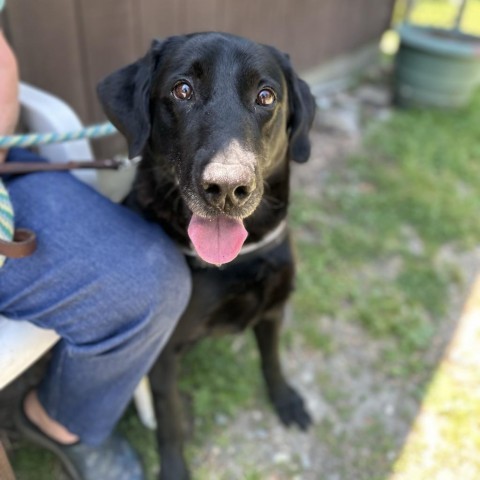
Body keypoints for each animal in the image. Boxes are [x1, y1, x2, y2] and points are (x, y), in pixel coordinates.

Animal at [98, 31, 316, 478]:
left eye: (266, 96)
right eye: (182, 90)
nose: (227, 188)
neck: (241, 257)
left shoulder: (273, 309)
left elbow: (272, 360)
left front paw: (285, 399)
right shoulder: (163, 354)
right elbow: (170, 419)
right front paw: (173, 468)